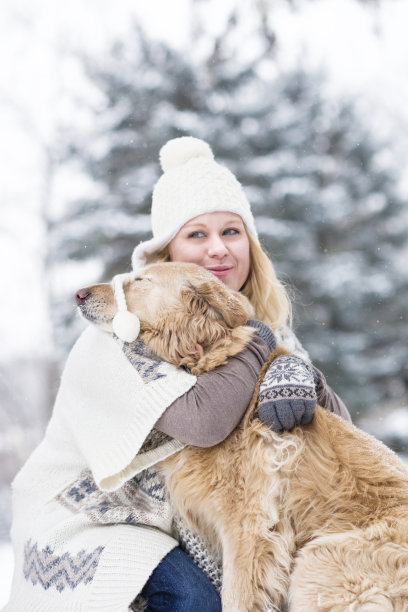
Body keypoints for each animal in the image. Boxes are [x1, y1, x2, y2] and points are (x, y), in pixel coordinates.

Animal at [77, 262, 408, 612]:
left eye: (139, 280)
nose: (79, 294)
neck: (205, 357)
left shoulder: (247, 525)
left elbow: (236, 597)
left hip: (317, 561)